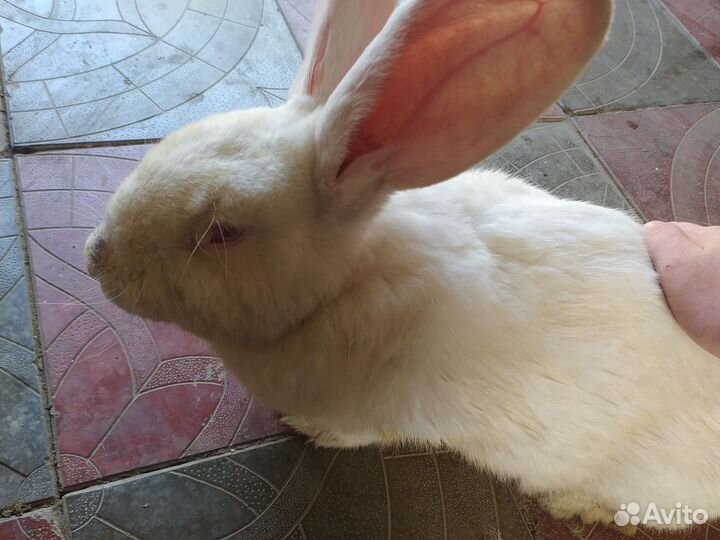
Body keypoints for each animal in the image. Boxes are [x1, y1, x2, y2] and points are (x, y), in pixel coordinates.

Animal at [85, 0, 720, 530]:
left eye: (222, 233)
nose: (95, 256)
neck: (341, 287)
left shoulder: (372, 413)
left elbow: (353, 431)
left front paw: (305, 429)